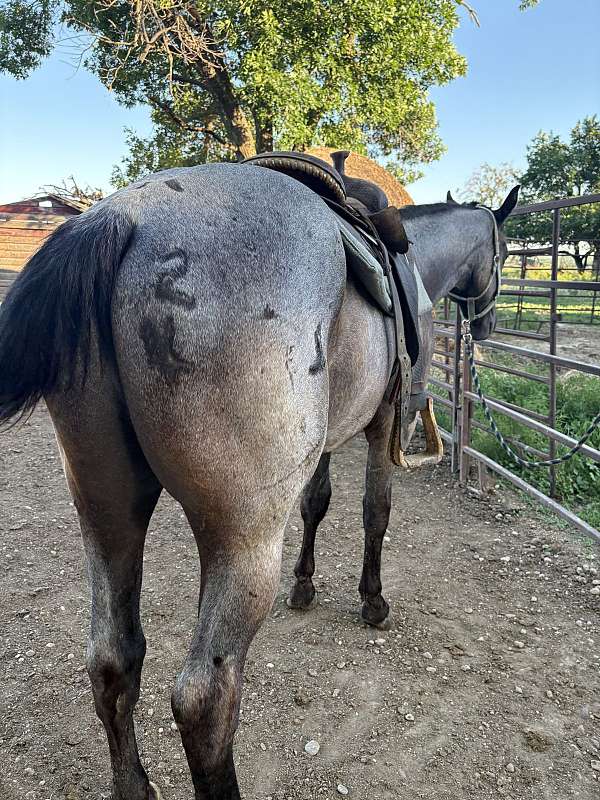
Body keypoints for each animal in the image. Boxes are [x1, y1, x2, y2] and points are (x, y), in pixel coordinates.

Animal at [0, 164, 519, 800]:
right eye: (501, 253)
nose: (488, 322)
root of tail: (122, 219)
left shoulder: (326, 442)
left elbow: (317, 503)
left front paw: (305, 585)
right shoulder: (378, 426)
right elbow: (375, 511)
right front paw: (372, 600)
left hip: (108, 515)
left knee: (111, 661)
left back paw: (134, 784)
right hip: (242, 544)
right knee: (204, 701)